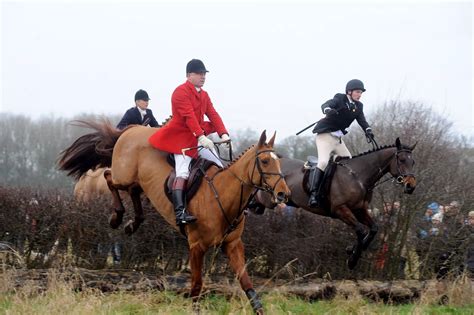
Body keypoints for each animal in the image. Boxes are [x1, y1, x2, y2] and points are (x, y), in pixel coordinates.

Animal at [57, 120, 290, 314]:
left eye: (279, 161)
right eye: (265, 161)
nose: (283, 194)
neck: (222, 195)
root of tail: (132, 129)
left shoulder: (233, 245)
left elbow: (246, 282)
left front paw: (258, 308)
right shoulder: (196, 246)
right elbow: (196, 286)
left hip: (138, 182)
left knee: (132, 191)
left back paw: (134, 223)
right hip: (123, 175)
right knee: (109, 178)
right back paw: (117, 217)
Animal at [252, 138, 414, 270]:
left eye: (413, 162)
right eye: (401, 160)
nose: (411, 186)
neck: (358, 177)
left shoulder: (360, 209)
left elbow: (373, 229)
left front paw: (352, 250)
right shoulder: (340, 210)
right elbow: (361, 230)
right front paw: (352, 259)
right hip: (268, 199)